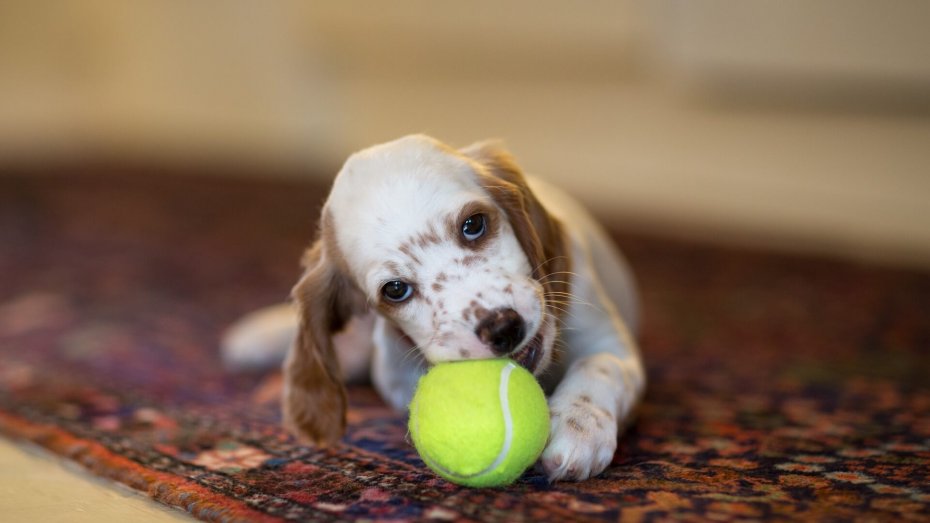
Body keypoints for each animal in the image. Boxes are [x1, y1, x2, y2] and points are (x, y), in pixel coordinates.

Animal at [223, 135, 644, 484]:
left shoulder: (611, 343)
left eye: (474, 224)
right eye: (396, 290)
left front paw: (578, 426)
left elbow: (598, 365)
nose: (503, 328)